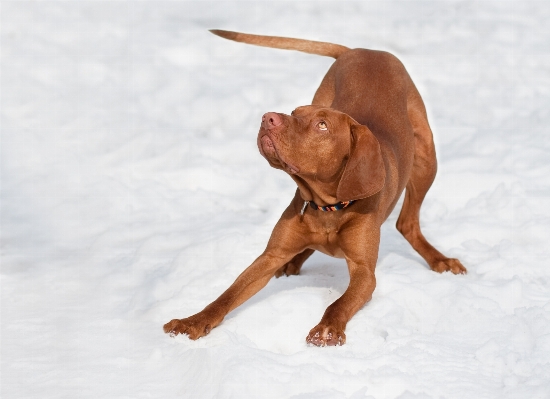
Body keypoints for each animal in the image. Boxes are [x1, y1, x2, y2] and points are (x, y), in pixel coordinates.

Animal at [164, 30, 466, 346]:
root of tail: (363, 50)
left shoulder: (364, 272)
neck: (327, 206)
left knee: (408, 223)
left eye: (322, 125)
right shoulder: (270, 256)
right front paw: (193, 321)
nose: (268, 117)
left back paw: (440, 260)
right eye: (295, 112)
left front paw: (328, 329)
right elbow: (228, 294)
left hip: (426, 158)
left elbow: (339, 303)